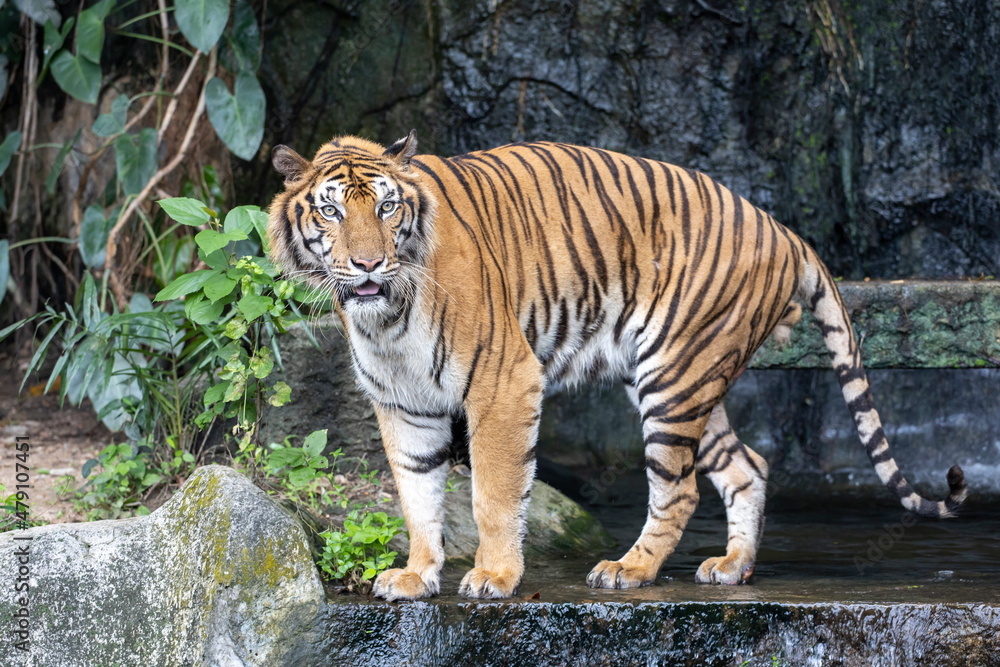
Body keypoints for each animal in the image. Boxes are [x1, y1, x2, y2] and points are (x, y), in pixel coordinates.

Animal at [266, 130, 967, 600]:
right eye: (331, 209)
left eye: (387, 208)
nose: (367, 265)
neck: (385, 319)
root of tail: (783, 228)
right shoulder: (402, 403)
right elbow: (416, 496)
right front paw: (416, 574)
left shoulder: (503, 383)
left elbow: (493, 493)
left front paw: (494, 575)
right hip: (690, 376)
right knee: (747, 466)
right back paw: (731, 568)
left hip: (673, 375)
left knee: (679, 489)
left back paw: (629, 570)